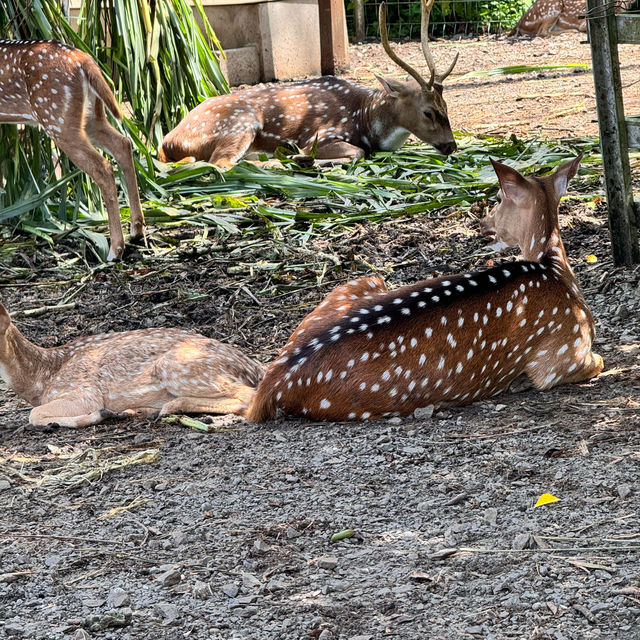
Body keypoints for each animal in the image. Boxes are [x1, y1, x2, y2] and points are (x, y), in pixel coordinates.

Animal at [0, 39, 144, 260]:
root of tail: (85, 60)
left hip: (57, 119)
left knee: (102, 167)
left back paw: (115, 250)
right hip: (91, 117)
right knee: (123, 144)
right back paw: (136, 231)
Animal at [0, 306, 264, 430]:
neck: (44, 377)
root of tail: (255, 367)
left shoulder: (84, 392)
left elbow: (34, 414)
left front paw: (100, 414)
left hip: (178, 367)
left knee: (249, 396)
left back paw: (164, 408)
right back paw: (145, 410)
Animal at [160, 0, 460, 168]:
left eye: (447, 106)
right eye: (428, 112)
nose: (451, 146)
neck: (365, 118)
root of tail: (166, 143)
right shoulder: (322, 134)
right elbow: (357, 152)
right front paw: (309, 157)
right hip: (239, 122)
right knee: (220, 163)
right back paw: (290, 161)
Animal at [246, 158, 604, 422]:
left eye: (499, 199)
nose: (483, 224)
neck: (554, 270)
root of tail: (270, 387)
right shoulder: (560, 357)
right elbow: (597, 361)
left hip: (362, 283)